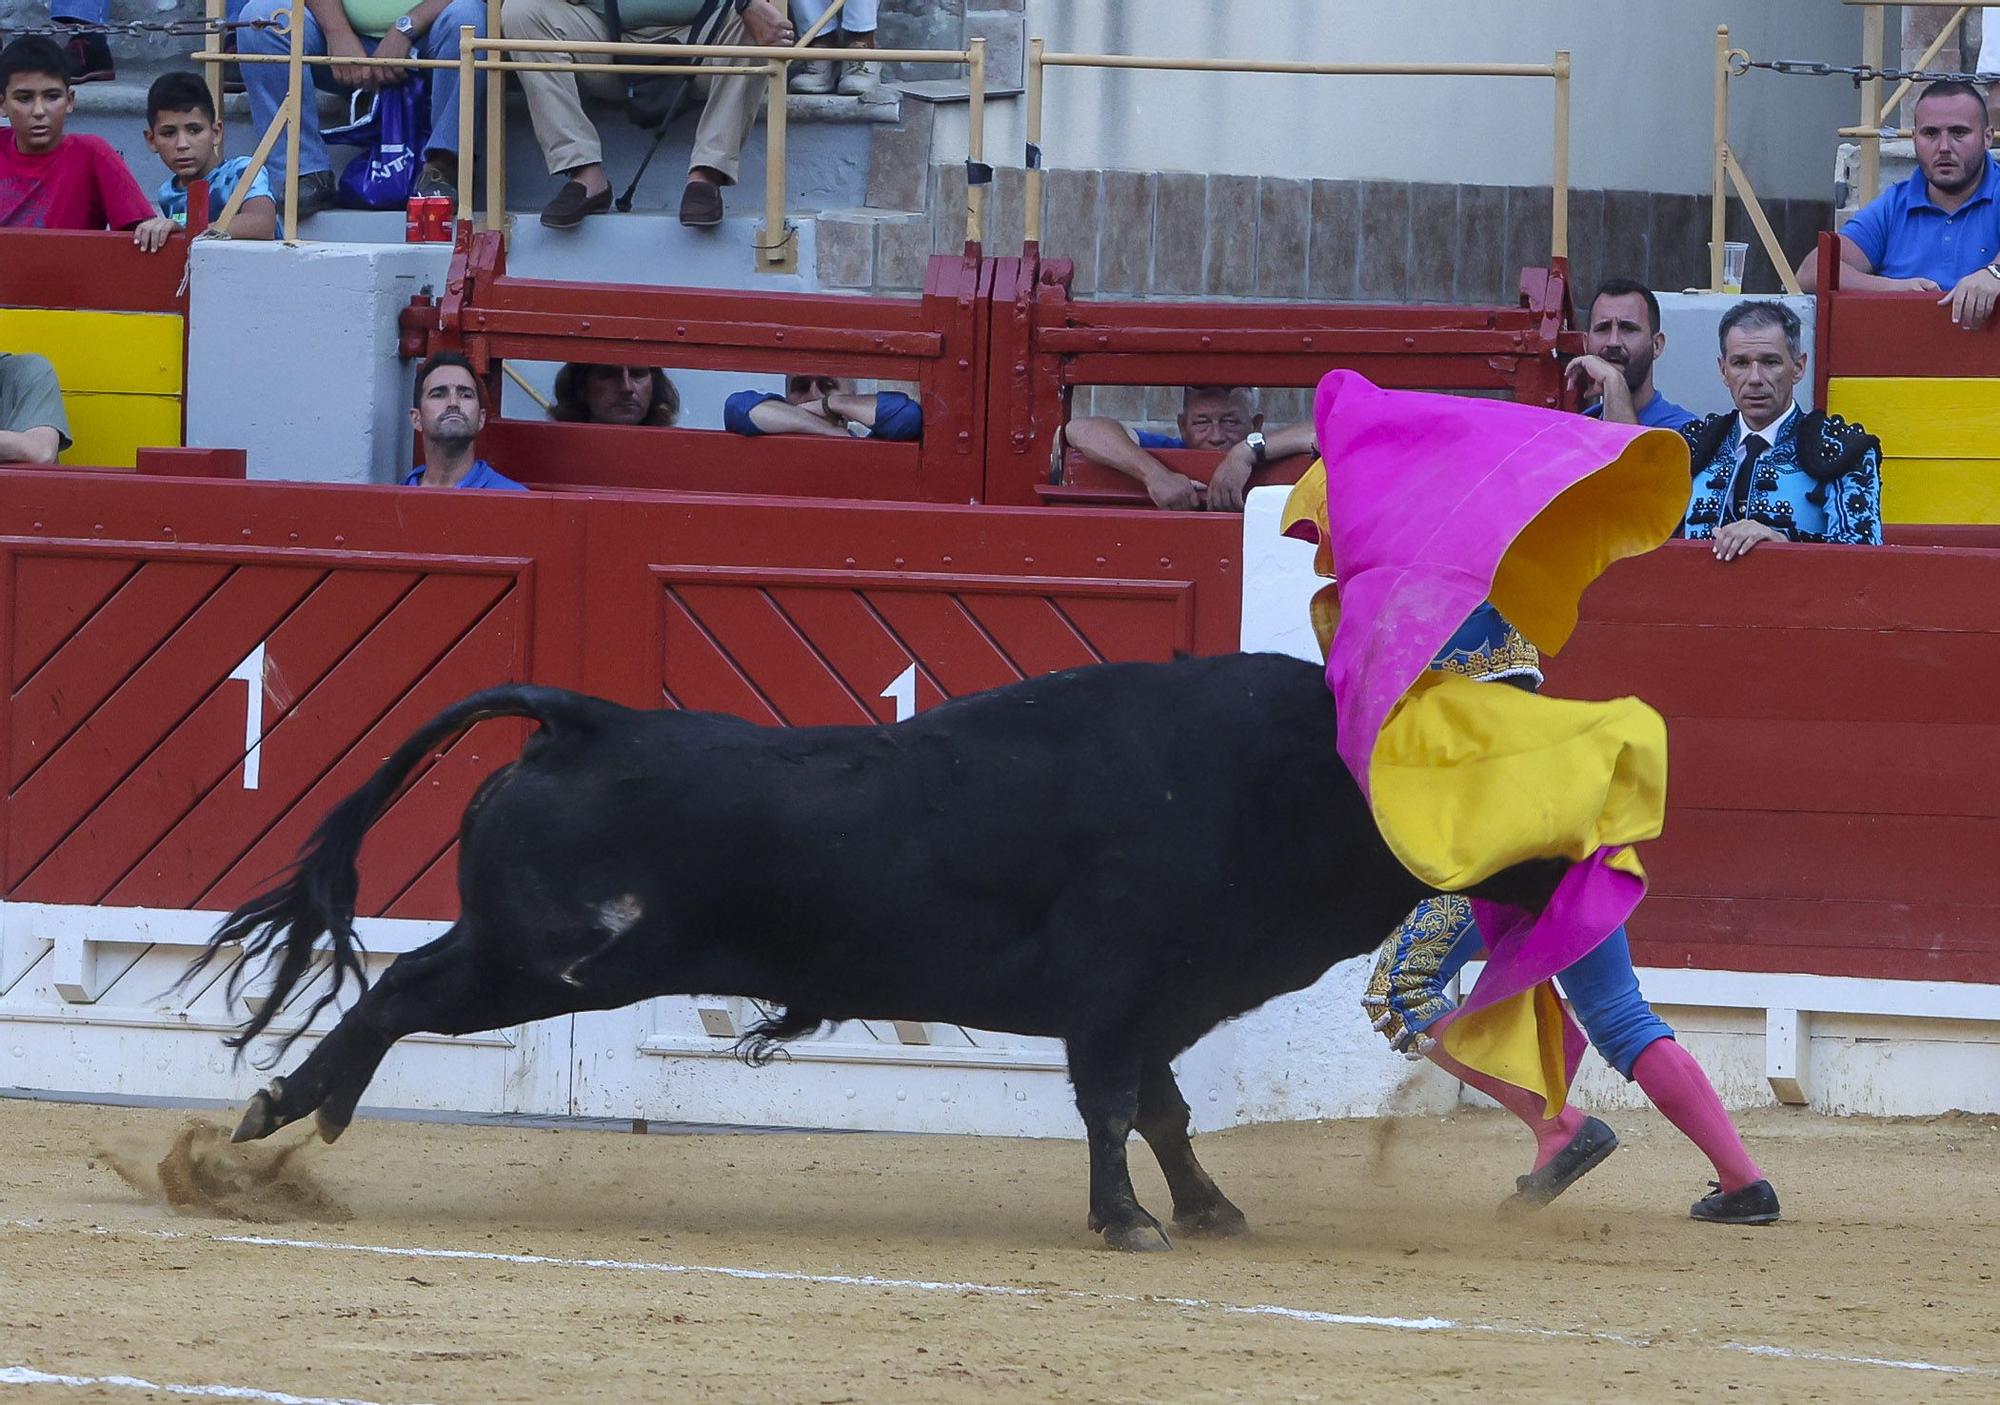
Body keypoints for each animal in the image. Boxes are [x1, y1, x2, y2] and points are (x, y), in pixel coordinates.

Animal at [191, 652, 1560, 1256]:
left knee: (396, 988)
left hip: (532, 958)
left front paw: (1206, 1208)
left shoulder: (1160, 1004)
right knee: (400, 990)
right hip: (542, 962)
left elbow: (1166, 1113)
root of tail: (593, 720)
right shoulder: (1115, 997)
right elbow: (1117, 1109)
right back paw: (283, 1112)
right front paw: (1126, 1222)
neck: (1281, 773)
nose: (1576, 865)